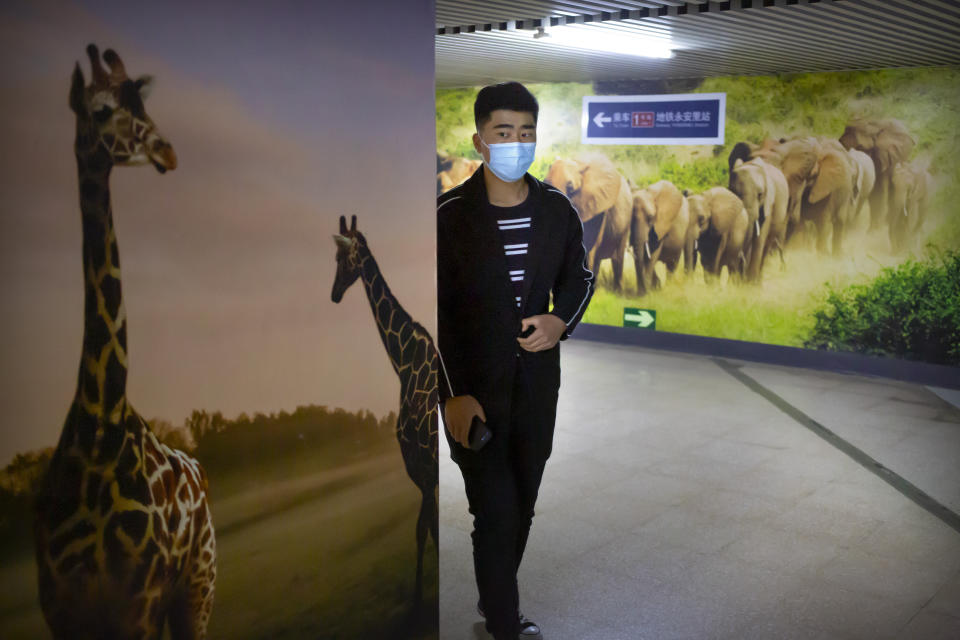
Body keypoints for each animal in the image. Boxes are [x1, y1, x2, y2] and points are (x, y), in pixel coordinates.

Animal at [33, 43, 216, 636]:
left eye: (142, 102)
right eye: (100, 109)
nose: (168, 151)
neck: (99, 427)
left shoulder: (141, 598)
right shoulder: (63, 607)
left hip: (197, 586)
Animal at [328, 214, 436, 604]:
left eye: (341, 258)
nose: (334, 294)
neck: (402, 362)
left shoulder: (420, 462)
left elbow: (424, 528)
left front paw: (419, 597)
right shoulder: (422, 467)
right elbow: (429, 527)